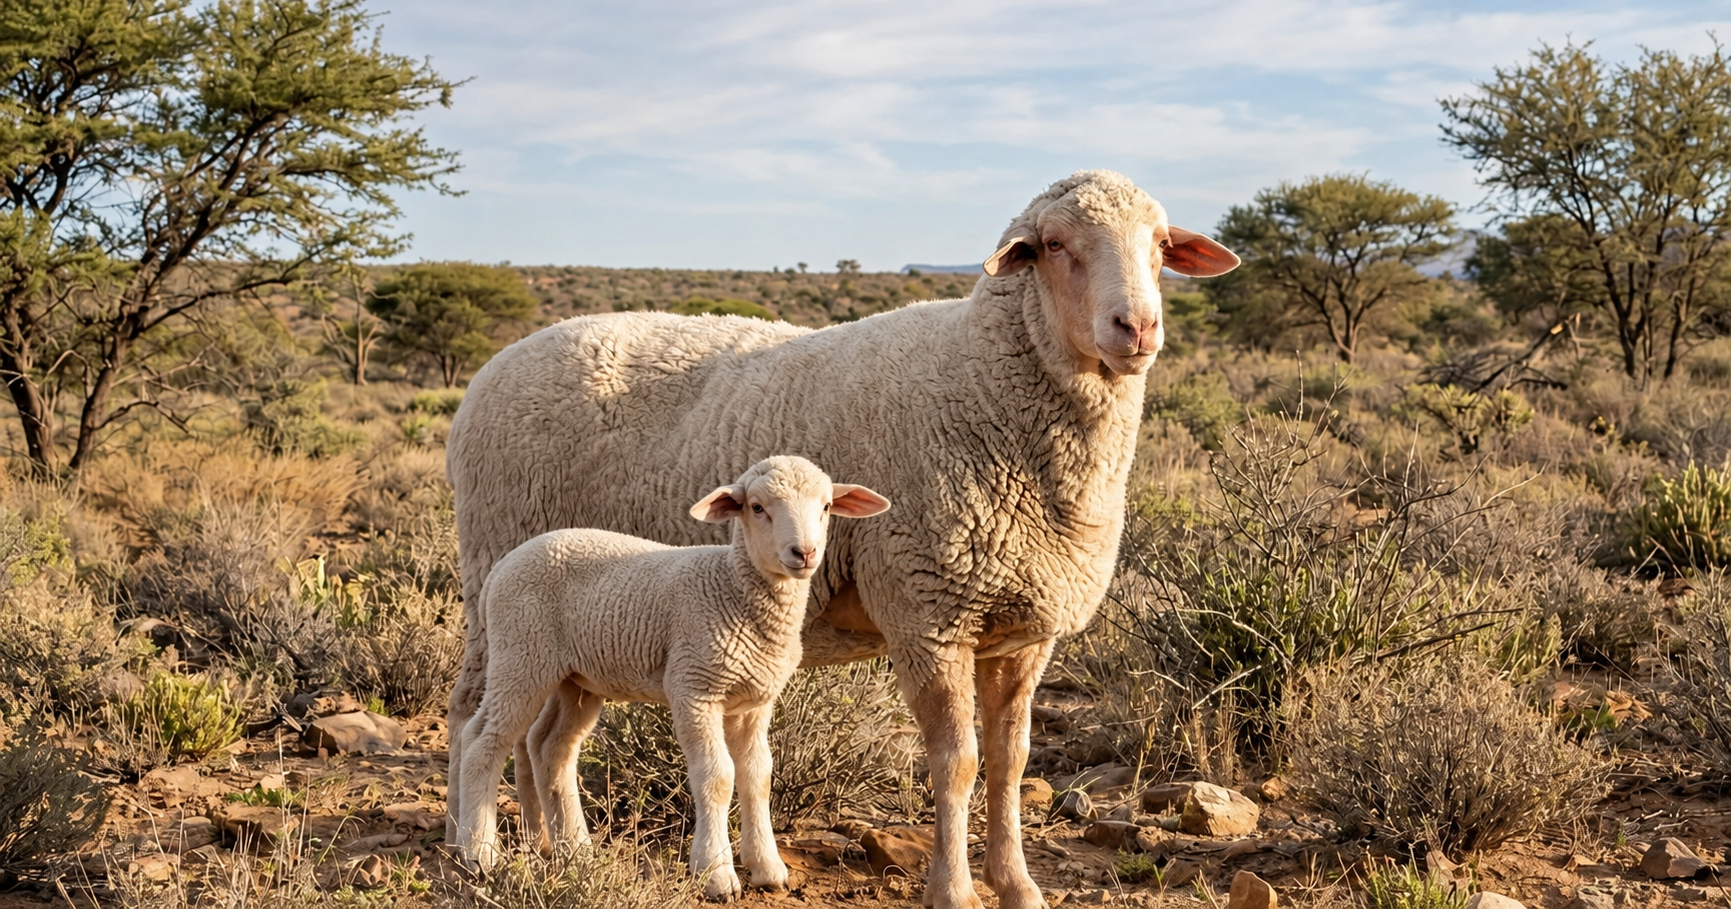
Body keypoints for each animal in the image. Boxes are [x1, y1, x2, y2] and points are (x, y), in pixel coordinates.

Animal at [451, 455, 890, 899]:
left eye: (826, 507)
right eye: (757, 507)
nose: (804, 552)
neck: (733, 586)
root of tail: (502, 567)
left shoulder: (754, 702)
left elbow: (758, 775)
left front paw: (768, 868)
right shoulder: (694, 686)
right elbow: (717, 776)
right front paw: (716, 873)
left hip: (574, 678)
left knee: (550, 748)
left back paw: (577, 852)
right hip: (521, 654)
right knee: (482, 740)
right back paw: (480, 853)